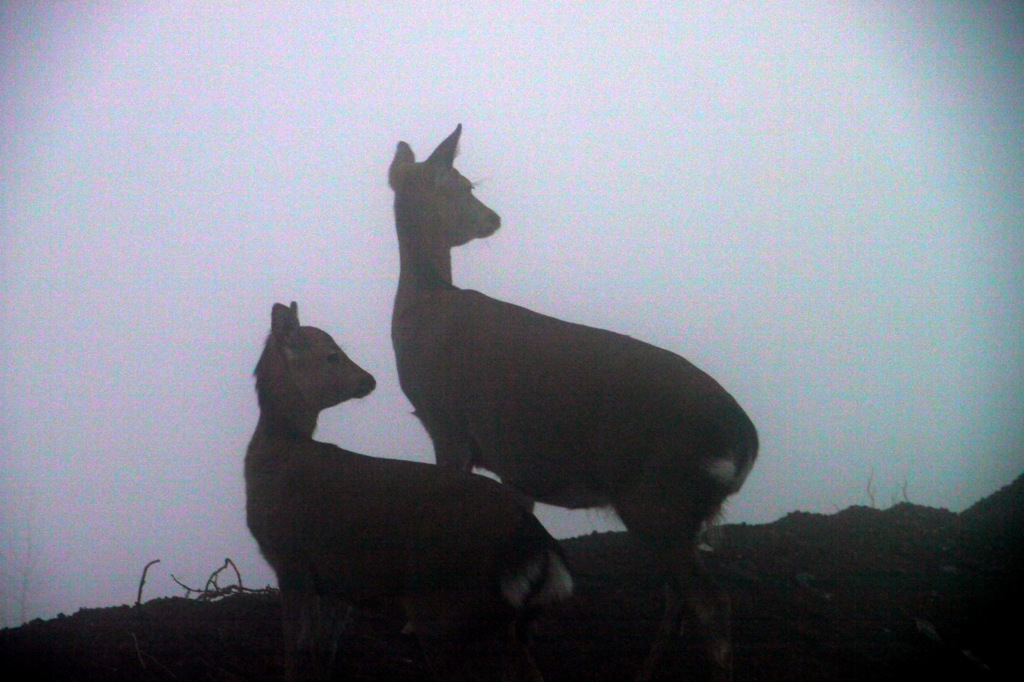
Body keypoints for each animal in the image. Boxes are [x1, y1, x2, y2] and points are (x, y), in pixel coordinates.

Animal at [244, 303, 573, 679]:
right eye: (331, 355)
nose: (369, 379)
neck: (278, 458)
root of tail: (535, 539)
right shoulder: (334, 582)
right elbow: (322, 651)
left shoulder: (291, 557)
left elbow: (295, 651)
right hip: (491, 616)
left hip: (445, 606)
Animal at [387, 125, 757, 675]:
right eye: (462, 187)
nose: (494, 218)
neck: (423, 314)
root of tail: (745, 443)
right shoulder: (507, 462)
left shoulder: (448, 425)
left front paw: (417, 620)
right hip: (677, 511)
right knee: (680, 597)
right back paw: (643, 671)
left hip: (659, 496)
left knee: (711, 605)